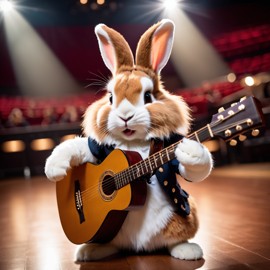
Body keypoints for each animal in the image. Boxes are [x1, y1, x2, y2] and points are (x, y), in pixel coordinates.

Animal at [44, 18, 213, 262]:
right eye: (110, 98)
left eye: (147, 96)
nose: (125, 116)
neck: (133, 143)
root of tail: (137, 246)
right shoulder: (97, 146)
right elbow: (78, 145)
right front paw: (54, 167)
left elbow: (187, 168)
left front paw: (193, 152)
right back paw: (91, 250)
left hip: (180, 217)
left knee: (176, 235)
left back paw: (185, 248)